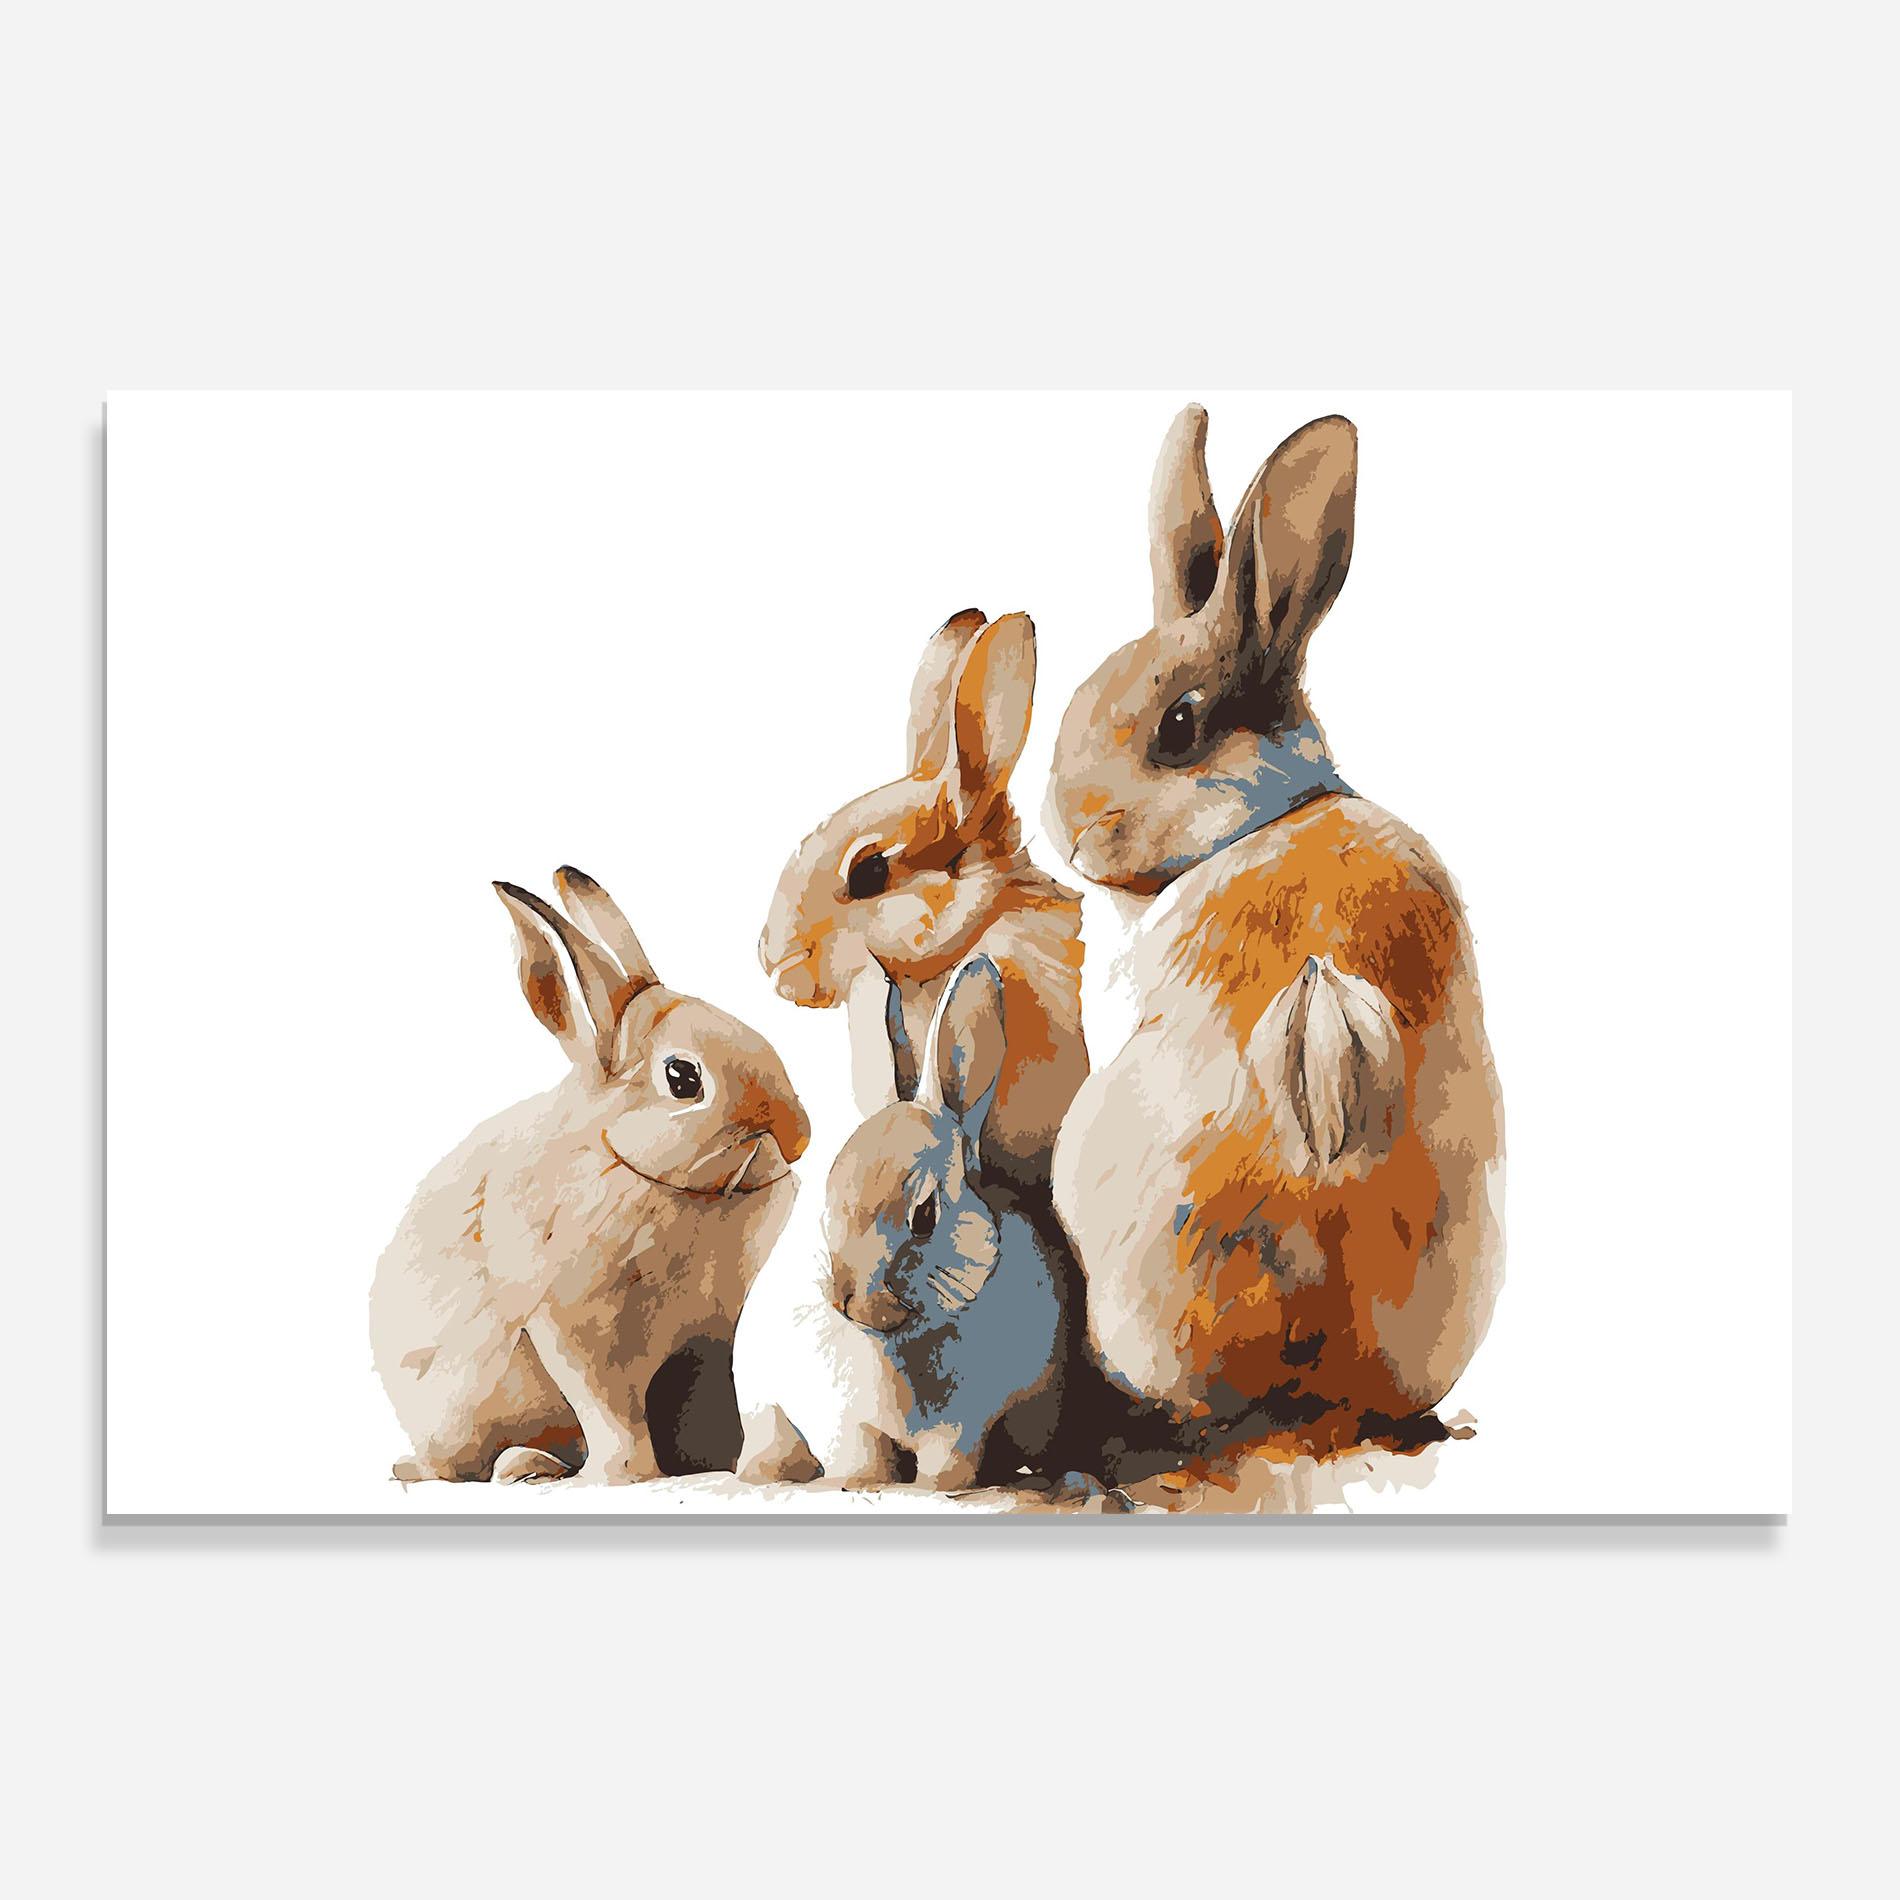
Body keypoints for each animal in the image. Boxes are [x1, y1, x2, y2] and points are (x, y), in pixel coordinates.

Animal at [370, 866, 809, 1485]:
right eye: (683, 1077)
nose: (799, 1135)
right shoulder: (577, 1330)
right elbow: (610, 1407)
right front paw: (630, 1475)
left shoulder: (706, 1336)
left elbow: (705, 1401)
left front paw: (719, 1464)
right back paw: (522, 1466)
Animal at [817, 955, 1065, 1489]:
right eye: (831, 1190)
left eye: (925, 1214)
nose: (848, 1301)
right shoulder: (862, 1425)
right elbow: (868, 1455)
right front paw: (860, 1483)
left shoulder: (959, 1431)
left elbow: (946, 1468)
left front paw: (933, 1489)